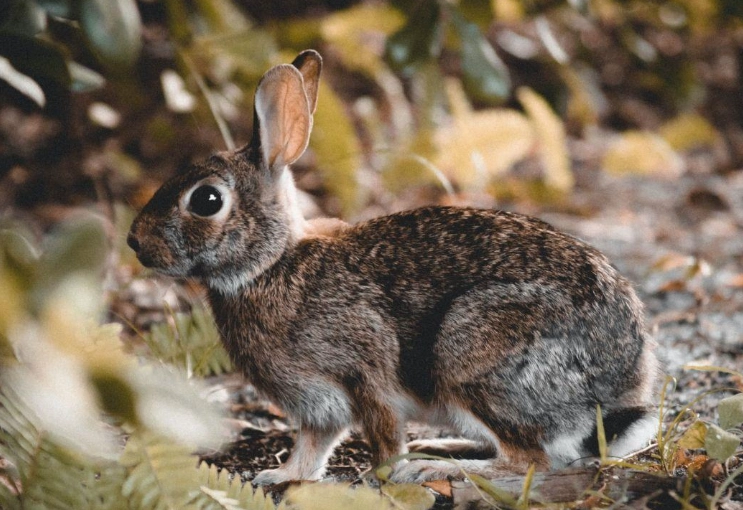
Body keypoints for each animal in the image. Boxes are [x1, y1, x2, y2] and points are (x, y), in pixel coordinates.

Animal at [127, 49, 660, 485]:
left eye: (207, 201)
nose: (136, 242)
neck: (271, 263)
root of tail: (621, 385)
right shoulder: (319, 404)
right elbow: (312, 446)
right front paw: (281, 476)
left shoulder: (364, 367)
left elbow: (380, 431)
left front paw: (384, 473)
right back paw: (439, 448)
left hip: (474, 350)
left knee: (531, 459)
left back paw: (436, 468)